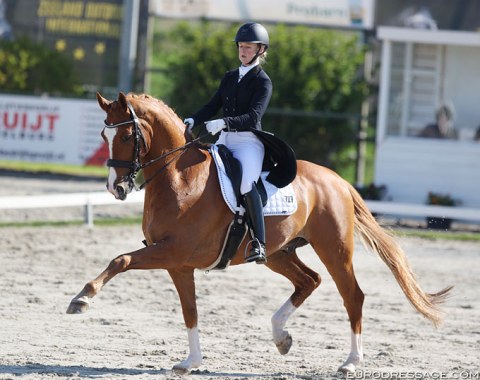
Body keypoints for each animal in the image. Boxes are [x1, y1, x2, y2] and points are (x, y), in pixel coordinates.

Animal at [66, 93, 450, 374]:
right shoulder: (178, 264)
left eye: (126, 135)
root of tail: (338, 180)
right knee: (309, 281)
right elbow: (190, 311)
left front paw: (82, 298)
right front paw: (190, 362)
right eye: (103, 136)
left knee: (352, 295)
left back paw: (350, 363)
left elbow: (121, 260)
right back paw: (281, 337)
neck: (179, 177)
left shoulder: (172, 252)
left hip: (335, 249)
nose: (116, 188)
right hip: (279, 252)